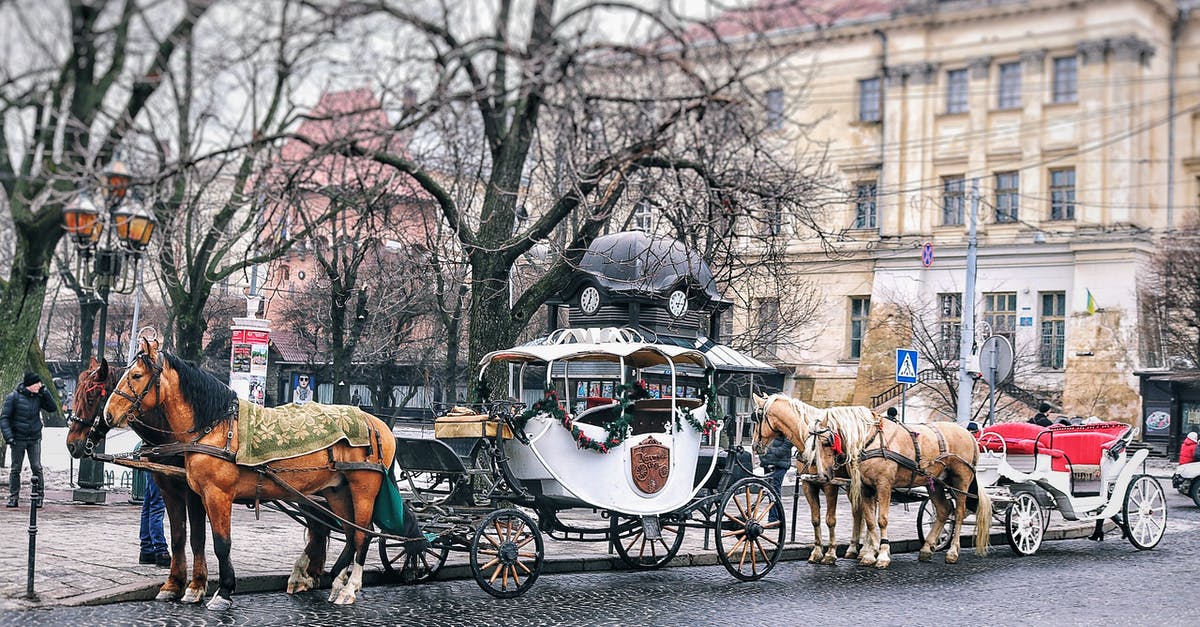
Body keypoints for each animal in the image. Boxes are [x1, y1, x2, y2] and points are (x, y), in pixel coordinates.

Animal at [68, 357, 336, 602]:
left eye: (91, 398)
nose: (72, 444)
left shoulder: (195, 493)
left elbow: (198, 537)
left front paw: (197, 585)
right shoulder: (169, 490)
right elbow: (178, 536)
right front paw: (173, 584)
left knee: (324, 525)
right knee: (320, 526)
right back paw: (311, 574)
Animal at [103, 338, 398, 607]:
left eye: (136, 375)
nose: (108, 414)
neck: (215, 427)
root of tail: (377, 423)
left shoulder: (217, 495)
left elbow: (221, 543)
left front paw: (223, 591)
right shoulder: (194, 493)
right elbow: (191, 537)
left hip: (362, 489)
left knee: (363, 534)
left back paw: (349, 588)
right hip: (335, 490)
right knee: (347, 534)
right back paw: (334, 582)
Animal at [748, 389, 864, 562]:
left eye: (758, 419)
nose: (755, 445)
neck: (813, 443)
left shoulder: (830, 485)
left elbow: (830, 520)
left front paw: (830, 553)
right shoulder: (808, 485)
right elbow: (815, 519)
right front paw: (817, 552)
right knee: (858, 512)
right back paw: (854, 548)